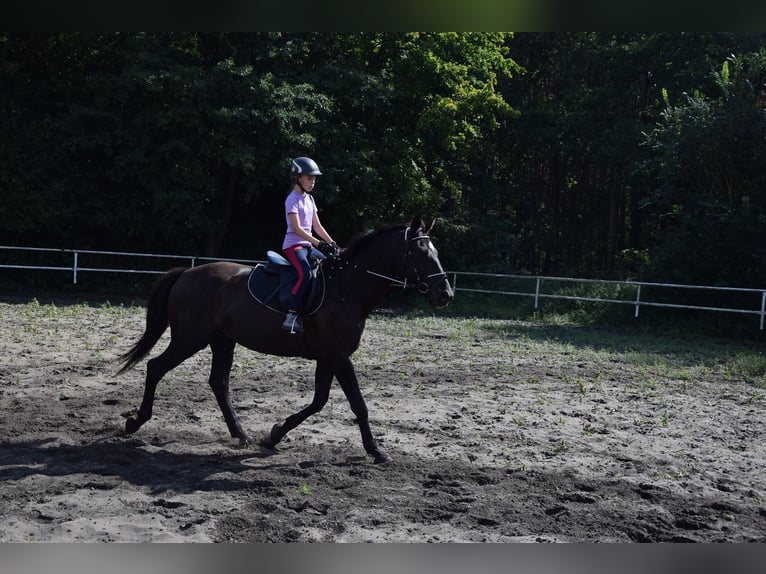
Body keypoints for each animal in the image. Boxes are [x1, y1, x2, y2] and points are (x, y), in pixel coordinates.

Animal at [117, 215, 454, 463]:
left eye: (436, 252)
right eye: (421, 252)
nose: (445, 294)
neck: (346, 288)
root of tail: (187, 274)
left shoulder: (329, 357)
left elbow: (319, 401)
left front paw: (275, 434)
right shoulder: (339, 356)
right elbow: (358, 404)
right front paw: (376, 450)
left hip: (222, 340)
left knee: (218, 382)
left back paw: (240, 434)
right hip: (189, 339)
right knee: (156, 368)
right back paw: (135, 422)